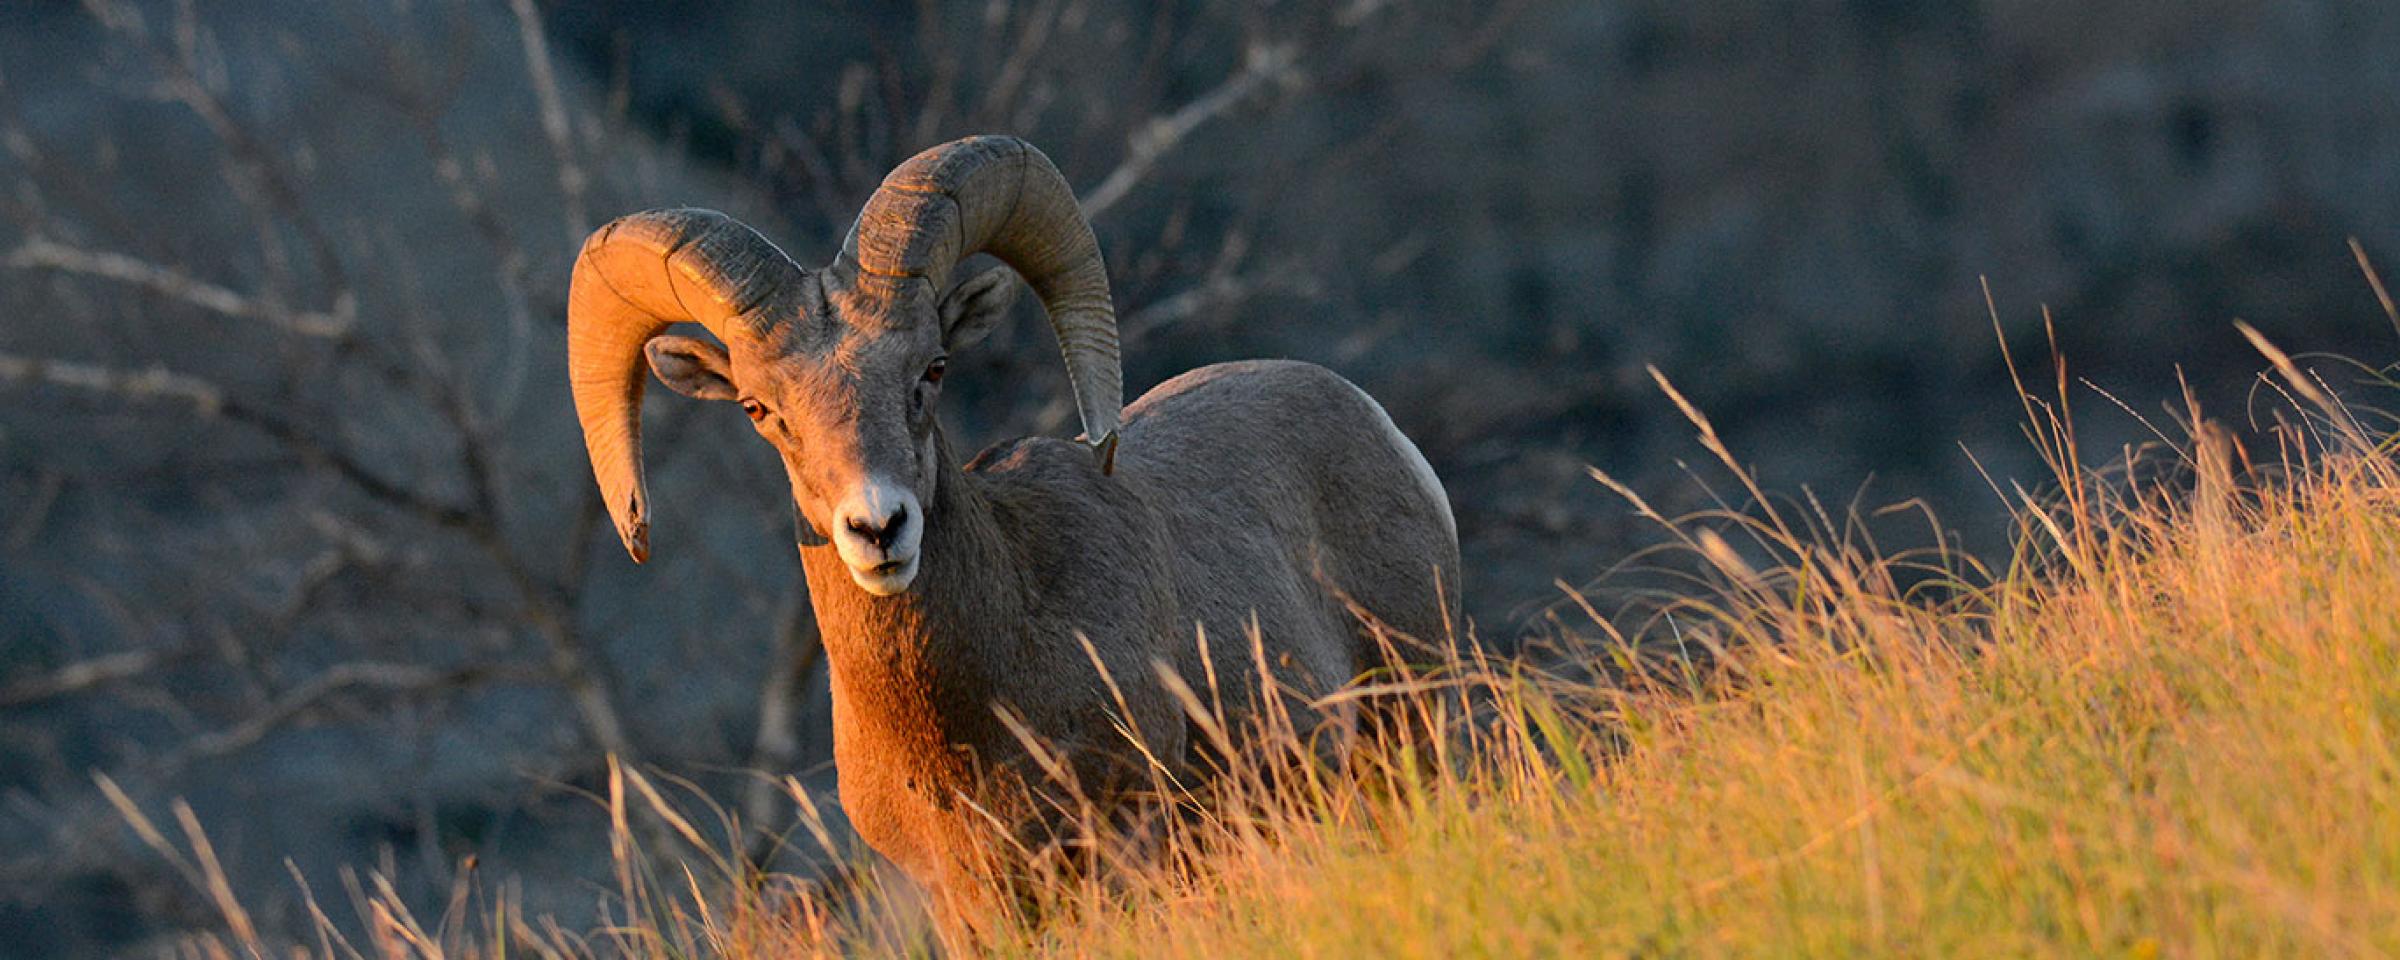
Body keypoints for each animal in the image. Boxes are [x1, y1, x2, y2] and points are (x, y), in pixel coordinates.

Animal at [564, 136, 1459, 921]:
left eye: (932, 369)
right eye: (758, 409)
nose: (878, 527)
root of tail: (1375, 423)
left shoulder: (1133, 841)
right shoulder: (966, 901)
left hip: (1412, 726)